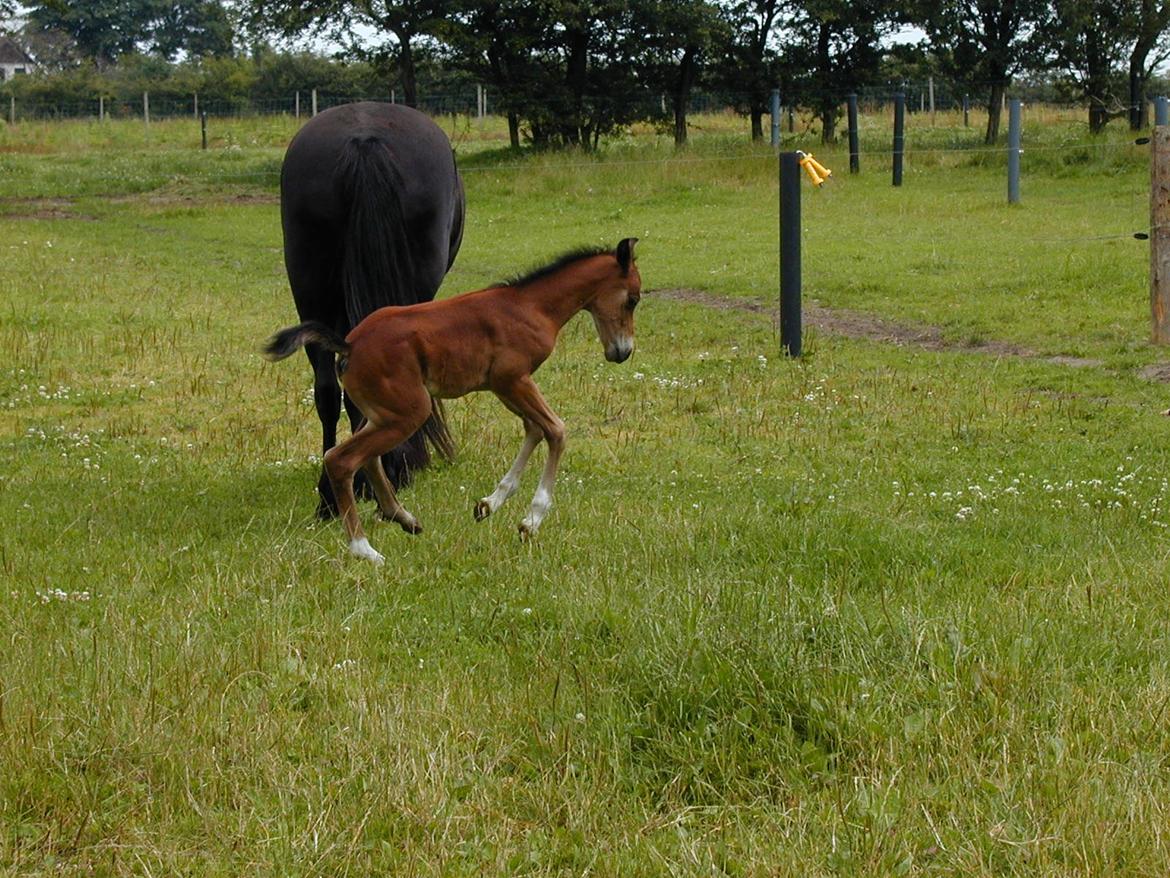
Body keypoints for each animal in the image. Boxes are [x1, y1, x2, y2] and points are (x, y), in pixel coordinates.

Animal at [264, 235, 641, 564]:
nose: (622, 352)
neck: (531, 305)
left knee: (366, 458)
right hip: (409, 412)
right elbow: (556, 430)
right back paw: (365, 550)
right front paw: (530, 521)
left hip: (383, 412)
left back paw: (404, 518)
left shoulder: (504, 387)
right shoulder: (512, 379)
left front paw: (489, 504)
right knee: (341, 459)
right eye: (633, 298)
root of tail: (349, 345)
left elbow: (534, 430)